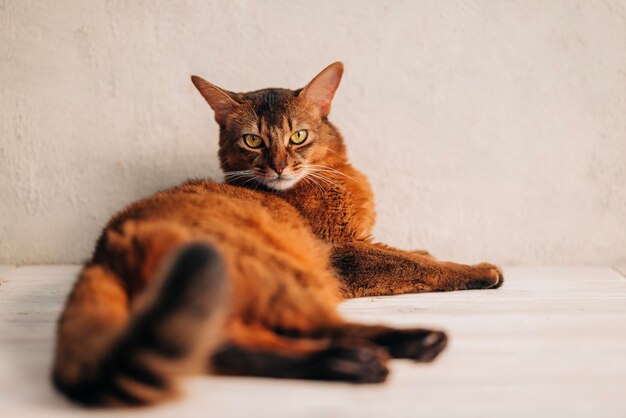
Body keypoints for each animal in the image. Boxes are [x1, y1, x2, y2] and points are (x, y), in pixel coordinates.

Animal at [53, 63, 502, 406]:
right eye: (253, 140)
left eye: (298, 136)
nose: (279, 166)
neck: (332, 174)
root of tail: (107, 247)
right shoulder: (342, 255)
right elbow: (412, 264)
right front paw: (478, 269)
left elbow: (409, 251)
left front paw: (426, 248)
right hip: (282, 274)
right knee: (309, 327)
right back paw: (407, 344)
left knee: (222, 346)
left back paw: (349, 363)